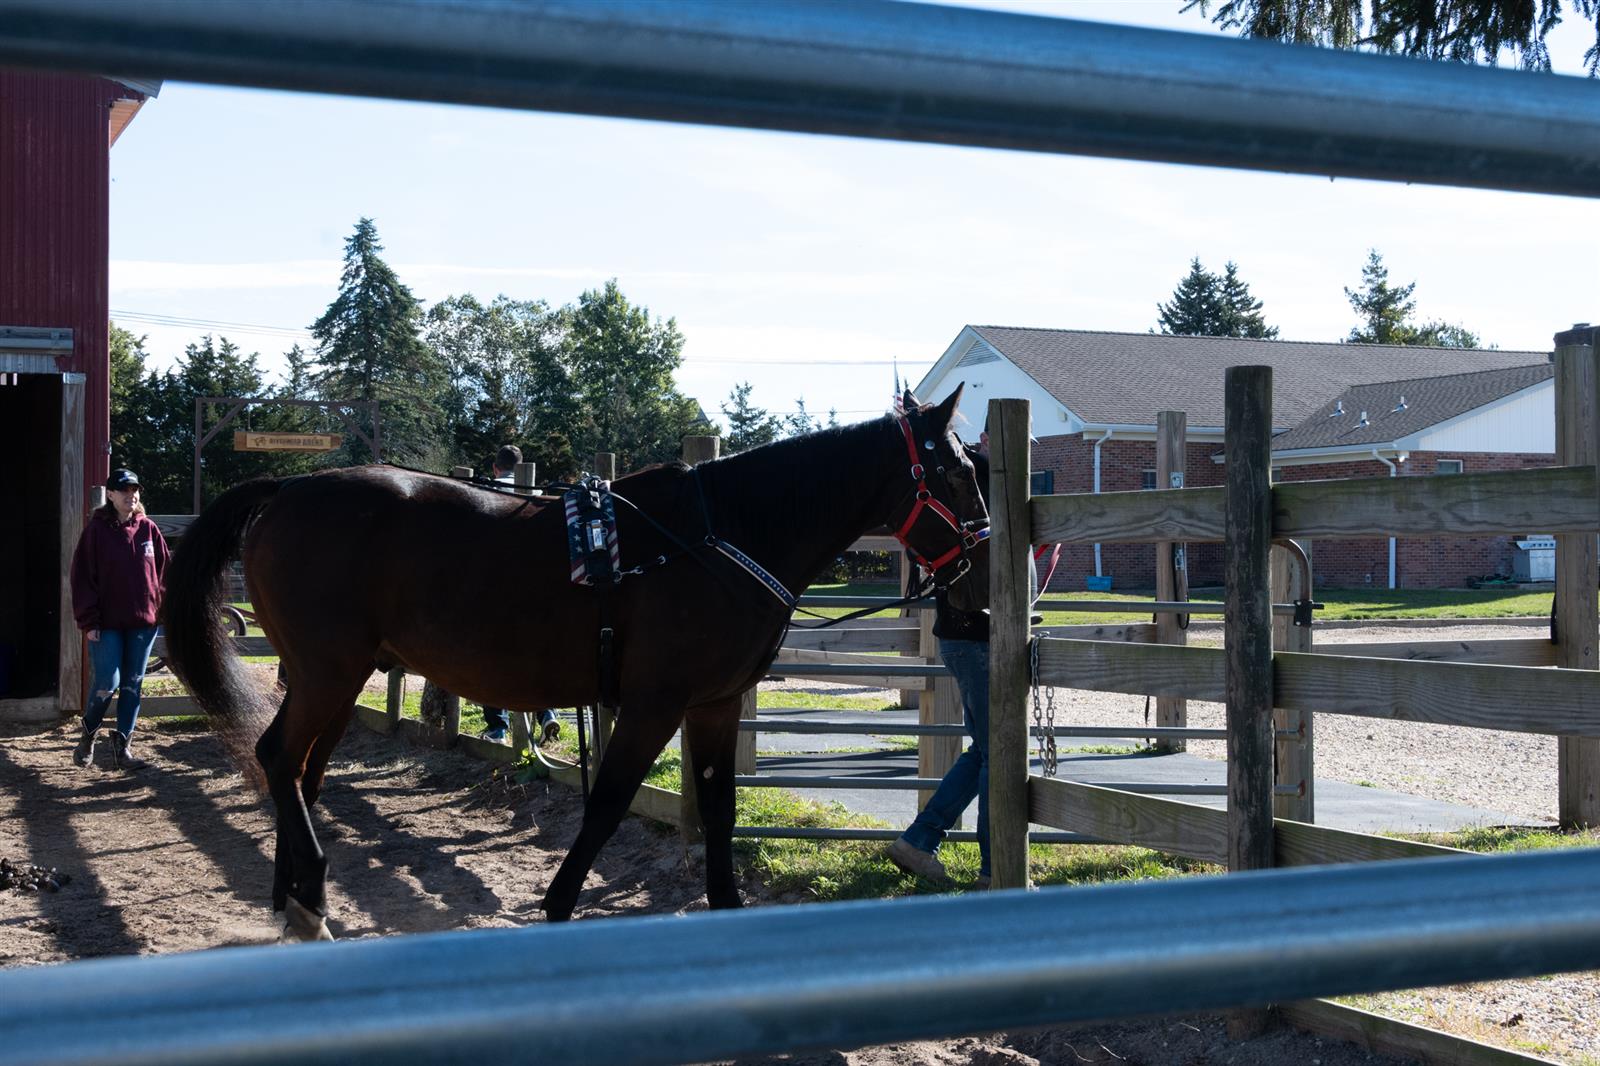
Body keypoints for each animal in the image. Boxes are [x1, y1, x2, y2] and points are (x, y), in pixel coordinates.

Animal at [160, 388, 988, 941]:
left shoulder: (713, 705)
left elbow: (719, 810)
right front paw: (558, 904)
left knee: (299, 771)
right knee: (279, 756)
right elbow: (606, 806)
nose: (978, 571)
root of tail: (289, 487)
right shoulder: (654, 704)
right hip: (329, 670)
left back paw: (297, 897)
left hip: (336, 673)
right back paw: (307, 901)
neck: (714, 537)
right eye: (955, 472)